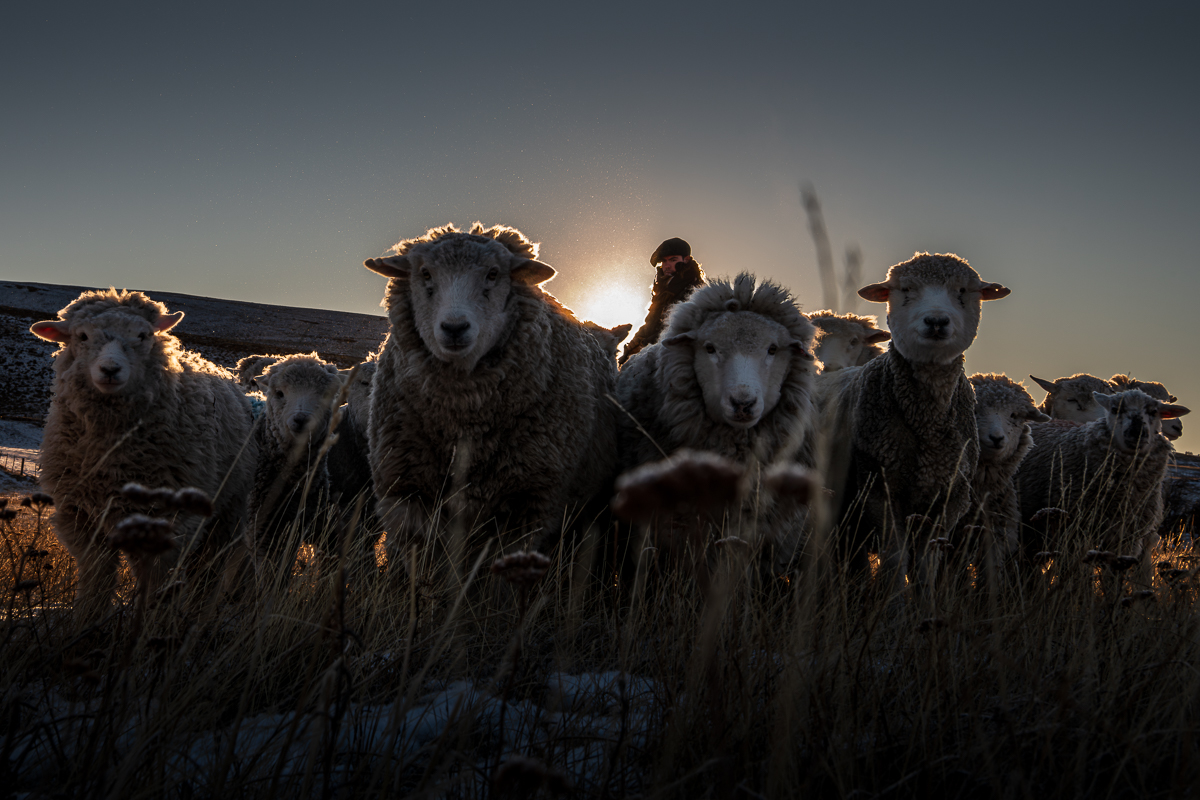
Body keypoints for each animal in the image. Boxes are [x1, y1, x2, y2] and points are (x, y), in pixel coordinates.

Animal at [30, 289, 257, 614]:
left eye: (143, 335)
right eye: (82, 336)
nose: (110, 369)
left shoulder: (173, 518)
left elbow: (156, 578)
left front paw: (149, 616)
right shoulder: (82, 518)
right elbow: (96, 577)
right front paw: (86, 619)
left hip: (229, 506)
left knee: (211, 563)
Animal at [361, 222, 619, 560]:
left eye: (494, 273)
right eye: (425, 273)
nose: (454, 328)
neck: (464, 421)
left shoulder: (527, 504)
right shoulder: (406, 492)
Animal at [821, 252, 1011, 582]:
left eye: (963, 290)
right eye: (906, 289)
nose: (936, 321)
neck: (928, 425)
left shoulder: (950, 498)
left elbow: (927, 565)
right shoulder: (880, 491)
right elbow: (895, 559)